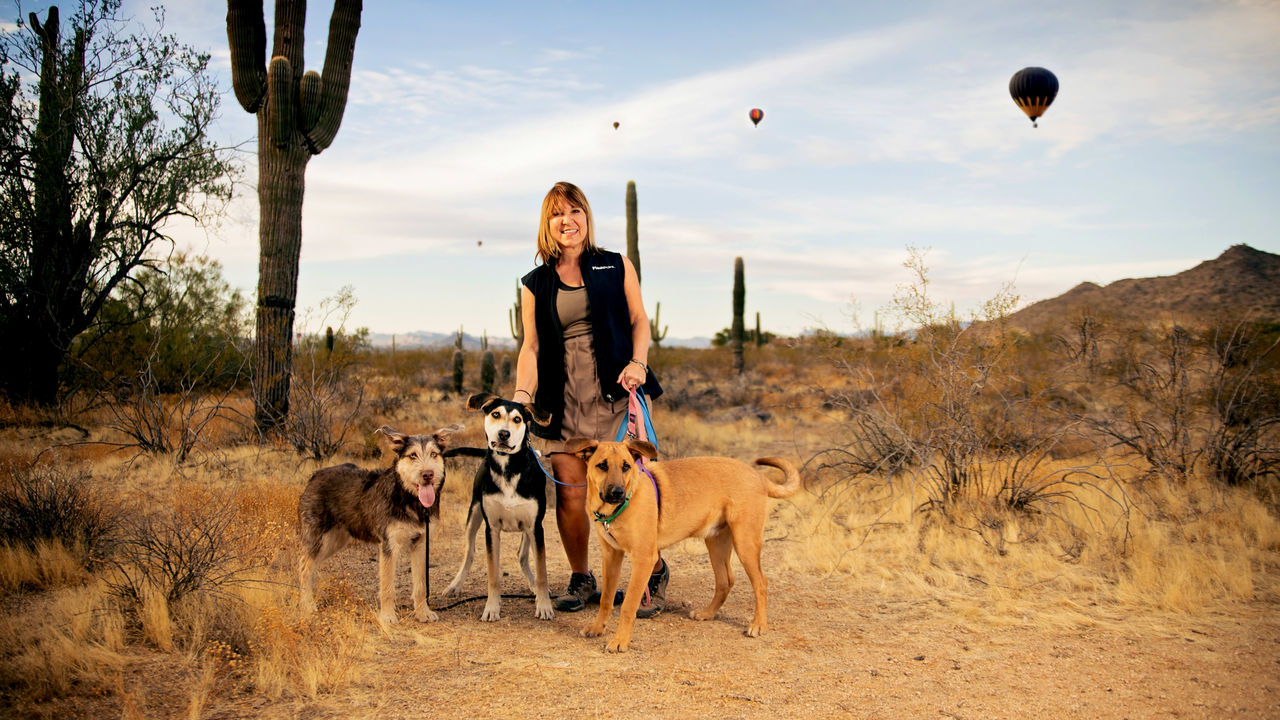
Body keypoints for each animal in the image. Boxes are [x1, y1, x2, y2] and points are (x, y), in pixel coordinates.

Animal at [445, 389, 555, 620]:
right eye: (495, 414)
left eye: (517, 419)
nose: (503, 434)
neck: (508, 468)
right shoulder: (492, 528)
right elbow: (493, 575)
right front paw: (491, 608)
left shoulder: (535, 526)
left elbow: (542, 572)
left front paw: (544, 606)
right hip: (474, 515)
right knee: (469, 553)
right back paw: (455, 585)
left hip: (530, 529)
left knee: (522, 555)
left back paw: (533, 586)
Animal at [563, 438, 798, 650]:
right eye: (602, 465)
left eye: (626, 466)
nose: (617, 493)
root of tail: (758, 475)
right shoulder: (611, 556)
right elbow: (606, 599)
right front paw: (597, 628)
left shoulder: (643, 559)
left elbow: (628, 606)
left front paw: (620, 641)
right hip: (716, 543)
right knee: (725, 581)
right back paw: (708, 613)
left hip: (745, 543)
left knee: (761, 583)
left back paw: (758, 625)